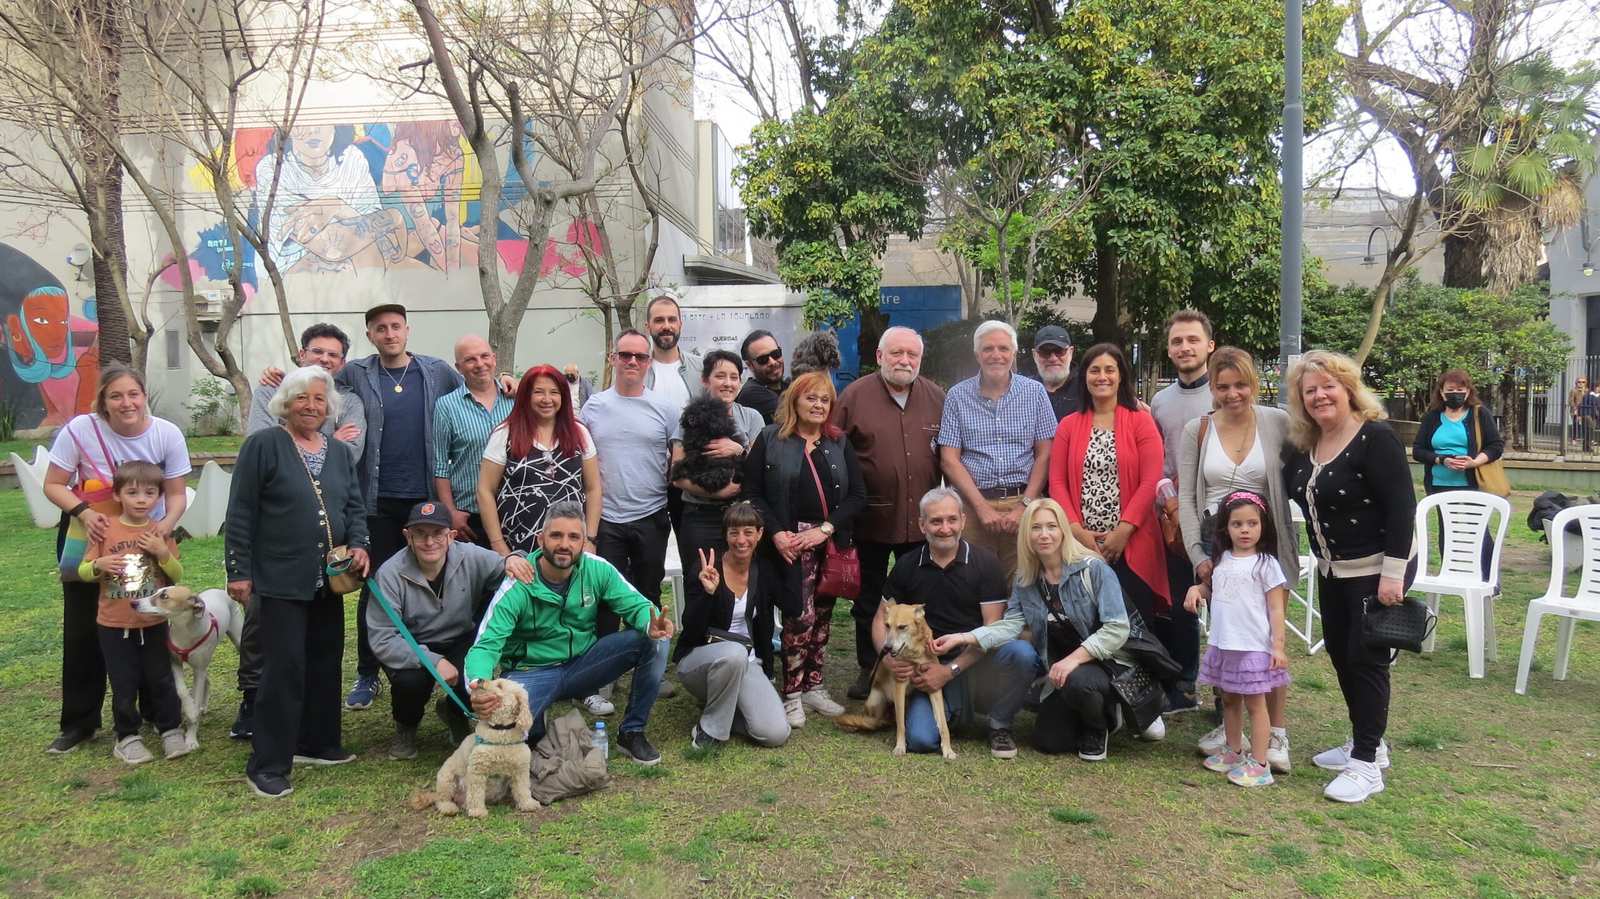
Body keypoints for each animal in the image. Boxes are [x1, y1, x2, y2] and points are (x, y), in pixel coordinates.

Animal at [137, 585, 243, 751]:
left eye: (164, 596)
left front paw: (191, 739)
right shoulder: (174, 663)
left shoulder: (198, 669)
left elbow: (195, 697)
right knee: (207, 680)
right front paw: (191, 710)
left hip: (237, 639)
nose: (133, 603)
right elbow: (182, 691)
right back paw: (201, 707)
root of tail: (221, 590)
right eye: (156, 591)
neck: (184, 630)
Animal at [419, 675, 544, 815]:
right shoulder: (477, 770)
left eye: (500, 686)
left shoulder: (520, 770)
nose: (479, 679)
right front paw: (477, 811)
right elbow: (476, 793)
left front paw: (528, 803)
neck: (500, 730)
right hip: (446, 778)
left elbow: (523, 789)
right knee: (441, 799)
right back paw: (449, 807)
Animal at [832, 595, 953, 755]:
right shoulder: (900, 685)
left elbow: (943, 725)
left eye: (902, 627)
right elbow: (901, 724)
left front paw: (948, 750)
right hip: (875, 701)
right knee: (878, 720)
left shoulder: (933, 685)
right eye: (887, 625)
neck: (914, 655)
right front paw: (900, 747)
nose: (887, 648)